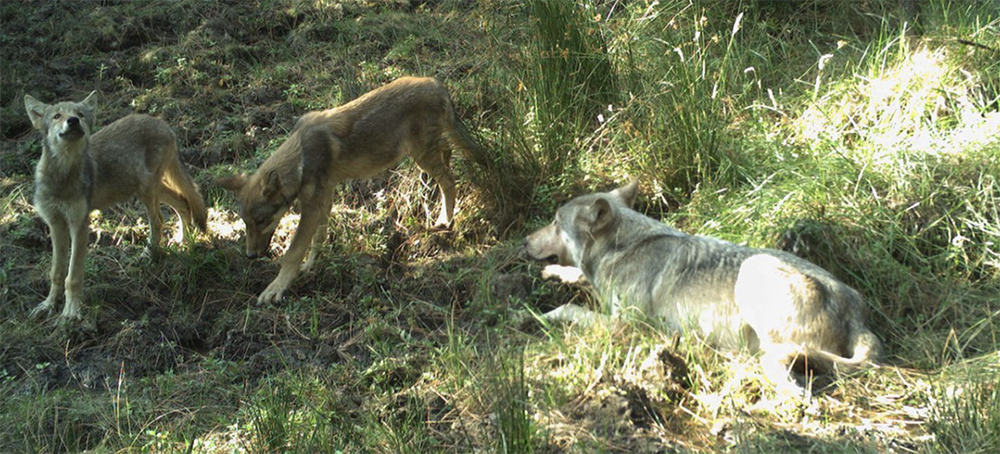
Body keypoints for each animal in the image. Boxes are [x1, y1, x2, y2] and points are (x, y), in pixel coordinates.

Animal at [23, 91, 207, 320]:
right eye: (57, 116)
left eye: (80, 114)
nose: (72, 121)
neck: (62, 178)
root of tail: (163, 123)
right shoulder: (55, 225)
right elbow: (56, 272)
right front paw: (48, 306)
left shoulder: (79, 226)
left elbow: (72, 276)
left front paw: (71, 313)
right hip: (147, 189)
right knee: (183, 202)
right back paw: (185, 242)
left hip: (147, 191)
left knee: (160, 220)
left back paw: (150, 254)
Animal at [220, 77, 484, 306]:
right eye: (246, 223)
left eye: (262, 220)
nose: (250, 256)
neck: (301, 157)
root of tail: (436, 84)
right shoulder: (324, 198)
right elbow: (318, 238)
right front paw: (310, 266)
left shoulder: (312, 207)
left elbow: (292, 252)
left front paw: (275, 289)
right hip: (424, 154)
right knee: (448, 154)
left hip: (421, 155)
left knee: (450, 180)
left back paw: (444, 221)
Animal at [524, 179, 884, 392]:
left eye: (554, 223)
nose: (524, 241)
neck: (622, 247)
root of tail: (858, 315)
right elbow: (579, 277)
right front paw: (554, 272)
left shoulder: (626, 325)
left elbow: (567, 307)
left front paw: (535, 315)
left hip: (754, 270)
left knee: (779, 364)